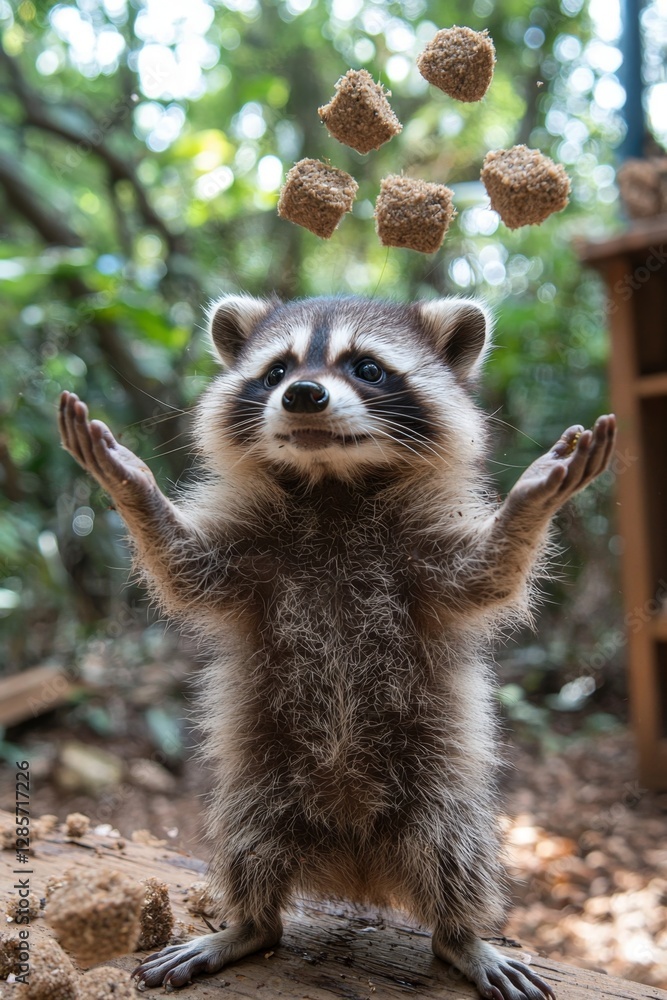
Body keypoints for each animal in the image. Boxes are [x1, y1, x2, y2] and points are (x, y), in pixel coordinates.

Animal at [58, 294, 616, 1000]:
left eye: (367, 368)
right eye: (276, 371)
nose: (303, 394)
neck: (332, 486)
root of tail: (358, 868)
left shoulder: (420, 556)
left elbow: (488, 573)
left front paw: (532, 500)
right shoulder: (252, 552)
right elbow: (183, 569)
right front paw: (132, 486)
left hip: (433, 780)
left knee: (453, 847)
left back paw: (459, 934)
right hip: (264, 778)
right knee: (249, 844)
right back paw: (249, 923)